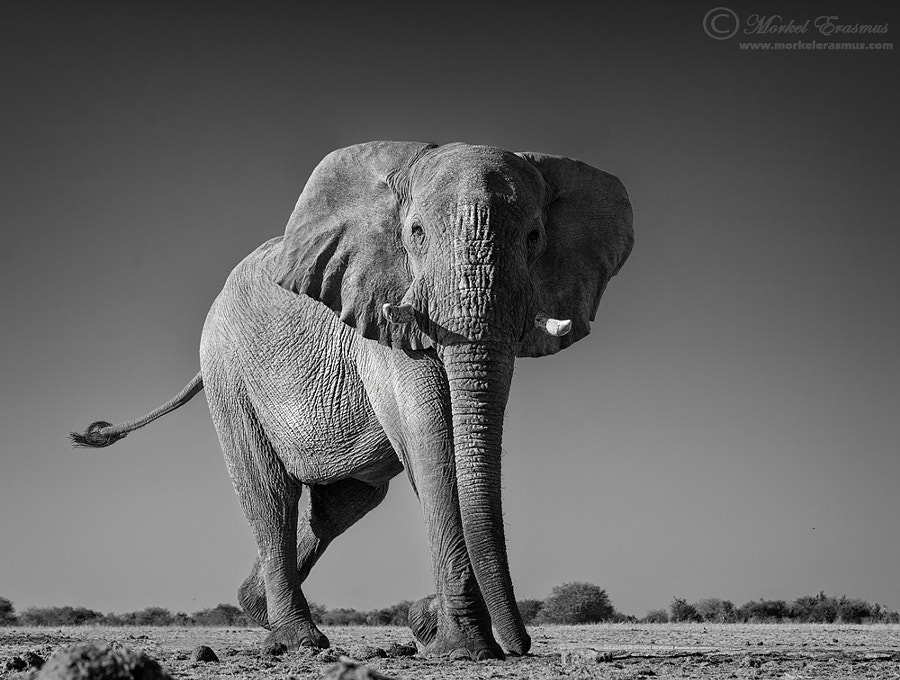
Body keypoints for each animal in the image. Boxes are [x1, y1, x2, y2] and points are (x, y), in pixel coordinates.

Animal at [70, 142, 632, 660]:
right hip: (228, 373)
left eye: (535, 237)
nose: (522, 646)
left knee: (340, 505)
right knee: (271, 496)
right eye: (416, 233)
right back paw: (298, 640)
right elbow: (431, 448)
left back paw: (259, 608)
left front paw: (434, 631)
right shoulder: (385, 313)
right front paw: (464, 647)